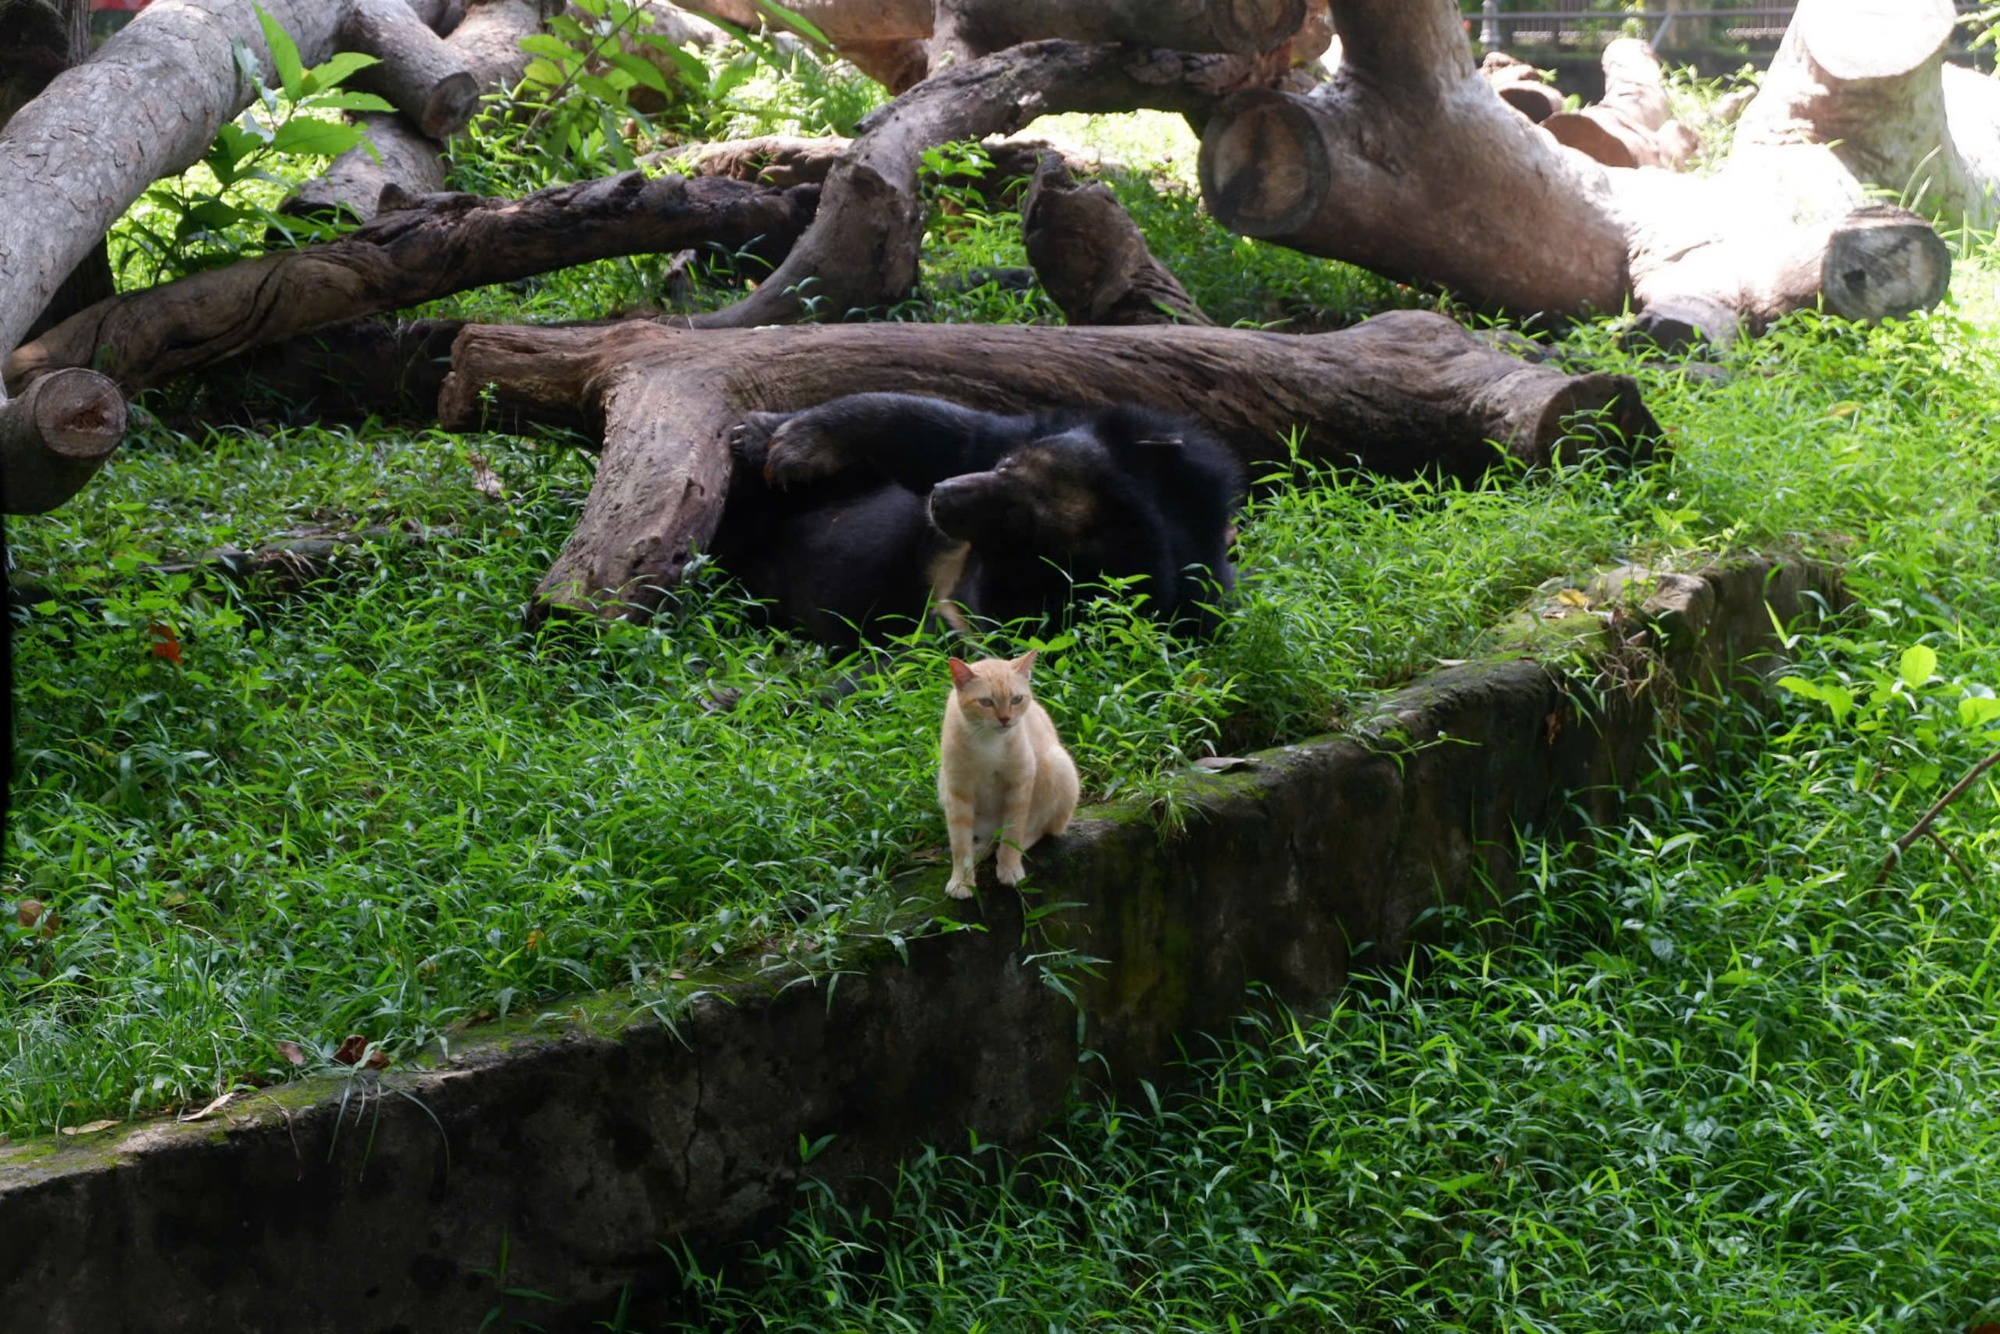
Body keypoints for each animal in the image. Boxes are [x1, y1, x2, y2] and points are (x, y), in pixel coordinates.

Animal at [936, 648, 1080, 896]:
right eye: (985, 702)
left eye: (1017, 699)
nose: (1005, 719)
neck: (988, 742)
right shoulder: (957, 791)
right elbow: (959, 843)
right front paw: (962, 881)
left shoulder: (1019, 783)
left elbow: (1013, 832)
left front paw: (1009, 868)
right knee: (988, 837)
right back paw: (980, 849)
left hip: (1058, 764)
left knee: (1041, 830)